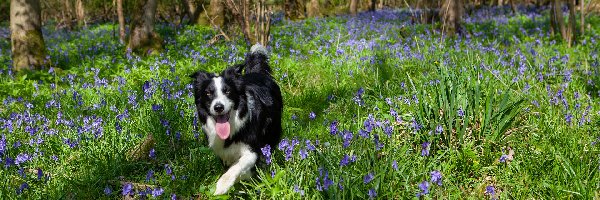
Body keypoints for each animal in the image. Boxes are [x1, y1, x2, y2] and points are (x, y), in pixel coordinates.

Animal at [191, 44, 282, 195]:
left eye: (227, 91)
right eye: (208, 93)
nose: (218, 107)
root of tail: (257, 72)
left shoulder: (252, 150)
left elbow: (236, 167)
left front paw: (221, 186)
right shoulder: (222, 152)